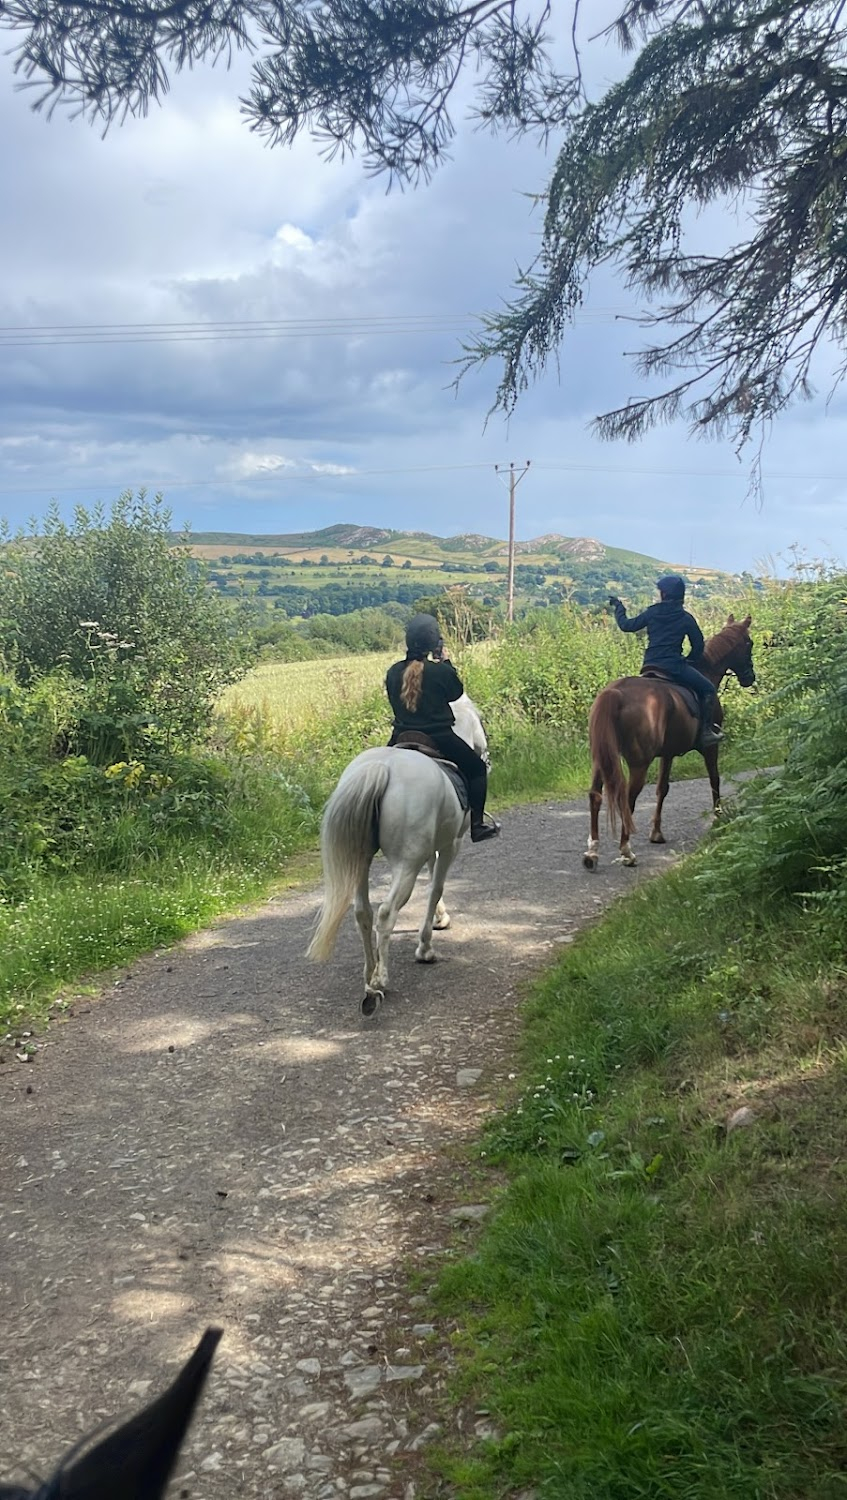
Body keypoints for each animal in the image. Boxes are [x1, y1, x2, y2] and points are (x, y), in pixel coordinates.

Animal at [307, 696, 485, 1014]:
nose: (485, 754)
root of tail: (381, 768)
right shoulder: (452, 844)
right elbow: (436, 887)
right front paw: (425, 947)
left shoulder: (435, 844)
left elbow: (432, 877)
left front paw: (440, 919)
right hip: (406, 864)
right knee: (387, 912)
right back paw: (380, 982)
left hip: (362, 861)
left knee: (363, 912)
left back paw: (370, 975)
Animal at [581, 609, 752, 870]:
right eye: (749, 644)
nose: (749, 678)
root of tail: (615, 693)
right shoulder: (710, 748)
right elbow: (715, 779)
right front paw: (719, 819)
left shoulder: (668, 753)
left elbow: (662, 788)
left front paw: (656, 833)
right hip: (639, 763)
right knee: (627, 798)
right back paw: (627, 852)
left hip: (601, 758)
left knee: (595, 796)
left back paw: (592, 853)